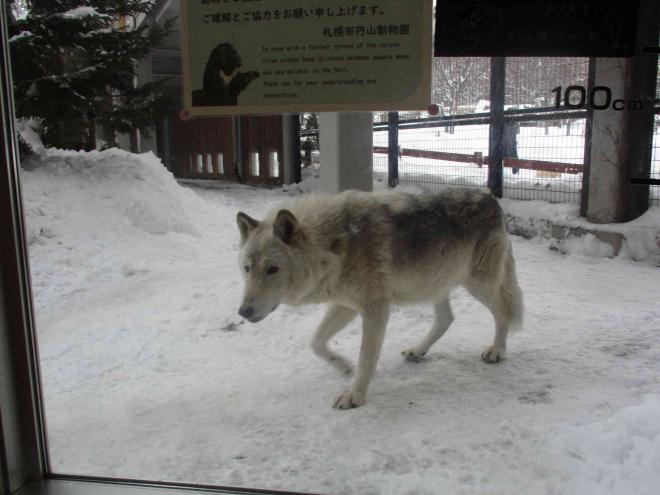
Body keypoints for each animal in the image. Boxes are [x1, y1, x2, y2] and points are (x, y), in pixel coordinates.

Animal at [235, 190, 524, 410]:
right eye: (247, 269)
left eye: (272, 269)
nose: (243, 312)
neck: (334, 244)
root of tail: (491, 198)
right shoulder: (345, 305)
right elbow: (316, 342)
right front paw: (343, 367)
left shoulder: (375, 309)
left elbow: (366, 358)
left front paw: (355, 395)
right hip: (433, 285)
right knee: (446, 318)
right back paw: (418, 350)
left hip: (479, 285)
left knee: (503, 312)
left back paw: (497, 351)